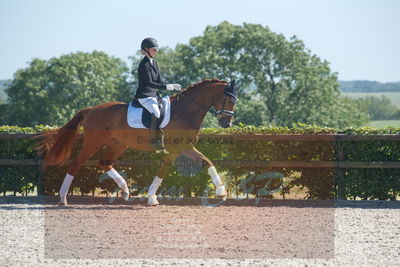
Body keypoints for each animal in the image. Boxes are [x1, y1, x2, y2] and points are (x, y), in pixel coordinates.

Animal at [39, 78, 239, 206]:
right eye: (229, 100)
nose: (227, 123)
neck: (186, 110)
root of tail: (91, 109)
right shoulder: (177, 148)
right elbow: (163, 170)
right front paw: (151, 198)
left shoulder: (184, 147)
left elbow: (206, 162)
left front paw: (221, 192)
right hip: (93, 142)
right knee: (77, 162)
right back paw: (63, 198)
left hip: (119, 144)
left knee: (104, 162)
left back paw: (125, 190)